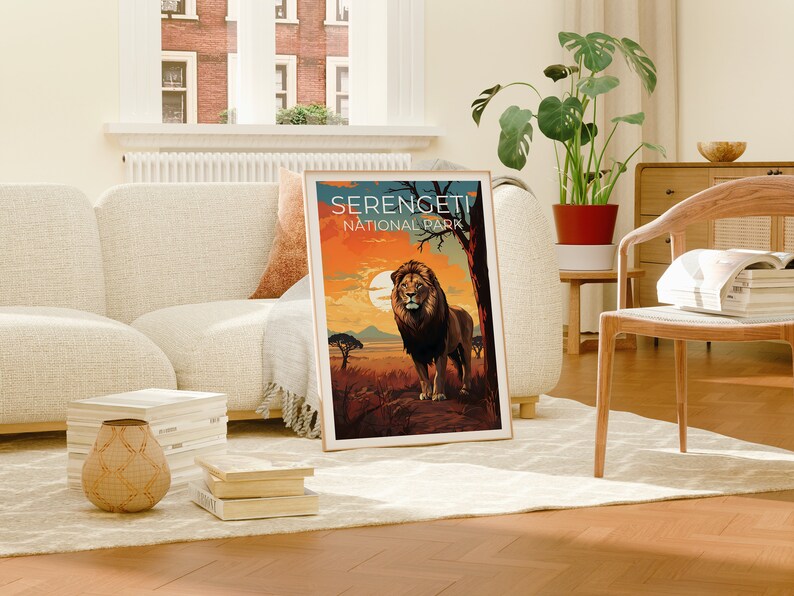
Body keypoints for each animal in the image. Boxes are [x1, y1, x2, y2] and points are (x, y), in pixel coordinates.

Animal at [390, 260, 474, 402]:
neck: (418, 320)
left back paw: (465, 390)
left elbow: (439, 375)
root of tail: (464, 311)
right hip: (452, 352)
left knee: (467, 367)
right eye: (404, 285)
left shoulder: (440, 348)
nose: (410, 294)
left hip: (465, 346)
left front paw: (438, 394)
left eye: (419, 285)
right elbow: (423, 376)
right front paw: (426, 394)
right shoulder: (416, 351)